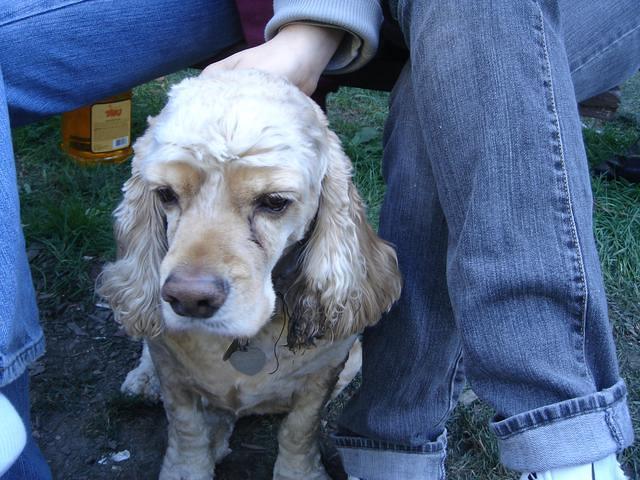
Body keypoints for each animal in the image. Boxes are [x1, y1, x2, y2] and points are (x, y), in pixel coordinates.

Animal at [97, 70, 400, 480]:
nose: (187, 298)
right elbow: (186, 430)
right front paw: (190, 465)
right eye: (165, 194)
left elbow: (298, 430)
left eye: (274, 202)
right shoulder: (174, 377)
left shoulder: (324, 374)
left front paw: (298, 473)